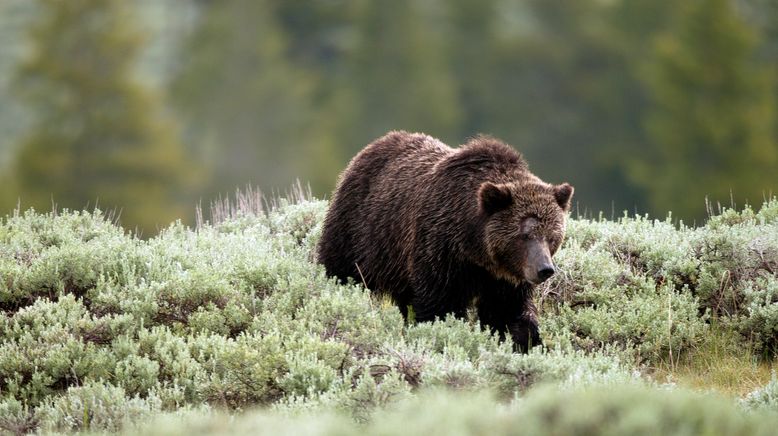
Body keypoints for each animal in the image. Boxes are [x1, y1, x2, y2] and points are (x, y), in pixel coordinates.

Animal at [316, 131, 568, 352]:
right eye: (524, 235)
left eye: (552, 236)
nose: (545, 269)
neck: (475, 249)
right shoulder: (440, 250)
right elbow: (439, 307)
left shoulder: (505, 280)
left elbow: (508, 314)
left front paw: (526, 343)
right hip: (361, 233)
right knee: (340, 270)